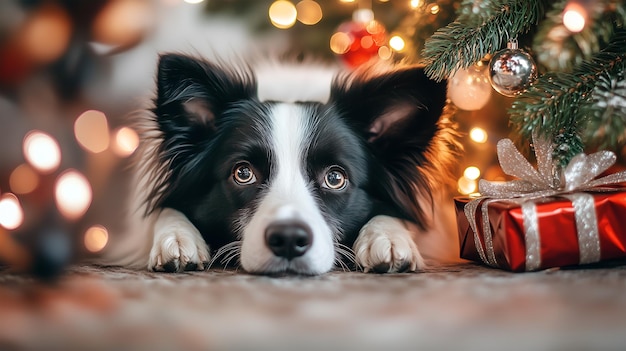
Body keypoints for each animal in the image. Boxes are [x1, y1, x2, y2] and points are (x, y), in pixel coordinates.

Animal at [100, 53, 456, 276]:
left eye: (335, 178)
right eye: (243, 173)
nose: (287, 240)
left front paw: (390, 239)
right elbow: (164, 211)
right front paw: (177, 238)